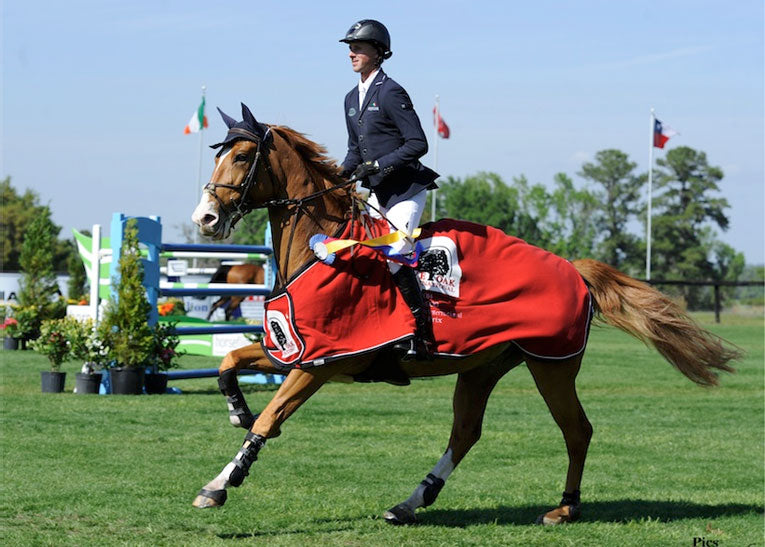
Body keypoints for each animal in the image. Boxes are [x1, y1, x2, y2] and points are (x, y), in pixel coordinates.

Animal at [187, 104, 740, 528]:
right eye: (218, 155)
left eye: (242, 156)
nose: (205, 219)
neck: (320, 250)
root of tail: (573, 268)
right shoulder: (296, 351)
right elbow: (230, 363)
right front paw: (236, 410)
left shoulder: (322, 362)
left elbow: (272, 418)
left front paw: (218, 486)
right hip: (482, 366)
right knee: (467, 432)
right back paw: (410, 503)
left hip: (552, 365)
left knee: (576, 430)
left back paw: (563, 509)